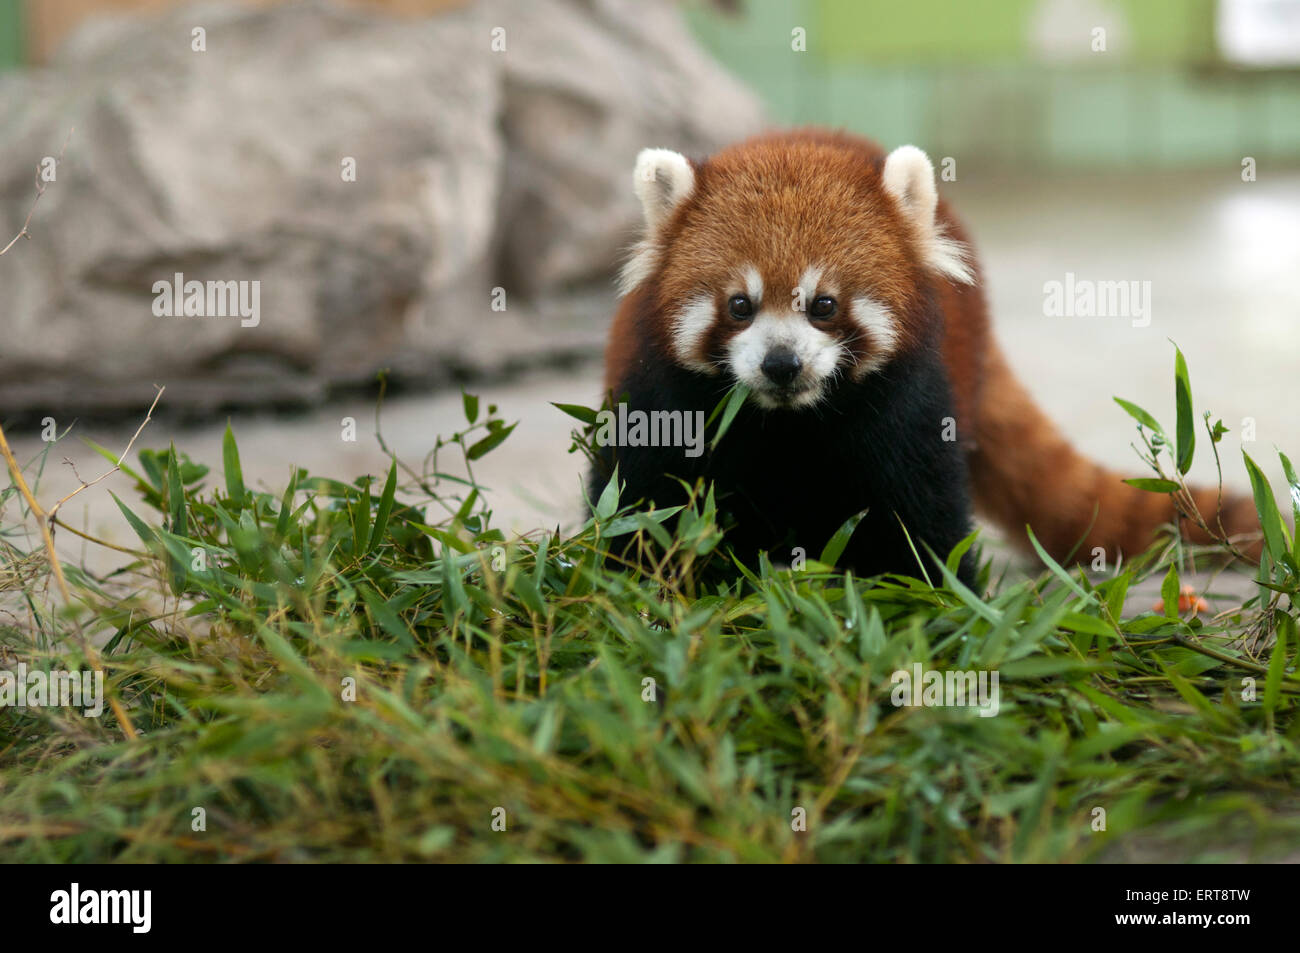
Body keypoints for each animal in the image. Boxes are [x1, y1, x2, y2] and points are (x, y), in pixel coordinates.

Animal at [590, 130, 1258, 579]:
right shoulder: (664, 395)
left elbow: (921, 518)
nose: (782, 364)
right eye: (739, 306)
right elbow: (641, 498)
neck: (789, 423)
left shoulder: (906, 404)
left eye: (824, 305)